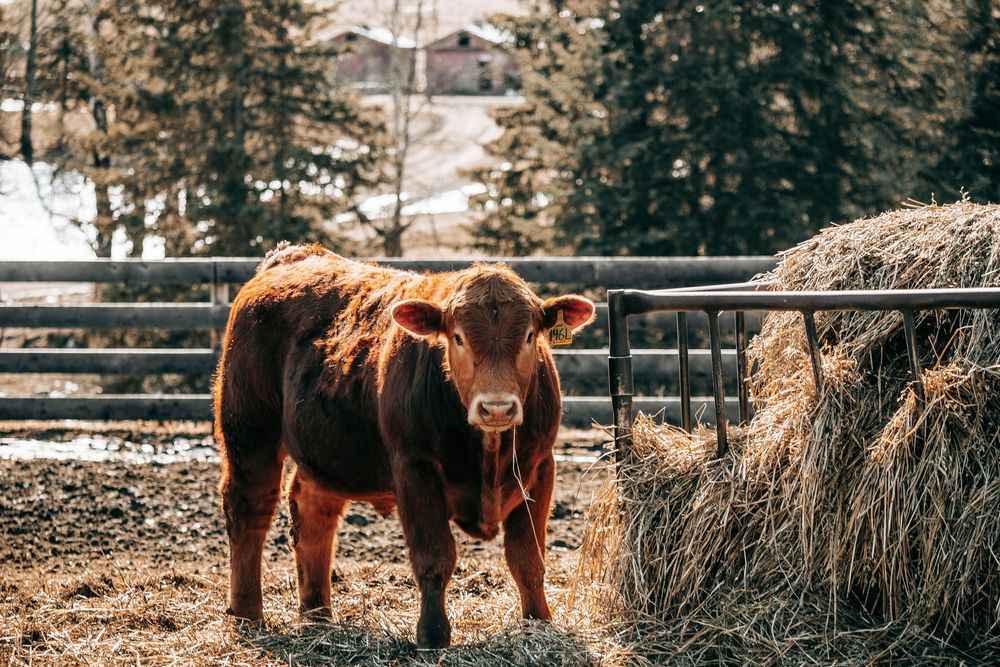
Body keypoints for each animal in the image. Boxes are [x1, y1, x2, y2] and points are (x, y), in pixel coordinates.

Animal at [213, 244, 595, 648]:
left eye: (529, 336)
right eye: (458, 337)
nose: (496, 407)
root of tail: (292, 255)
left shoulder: (540, 467)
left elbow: (528, 559)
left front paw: (540, 623)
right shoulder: (414, 468)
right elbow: (434, 558)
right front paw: (433, 635)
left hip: (325, 451)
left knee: (313, 514)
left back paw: (317, 616)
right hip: (249, 433)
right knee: (249, 509)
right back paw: (247, 612)